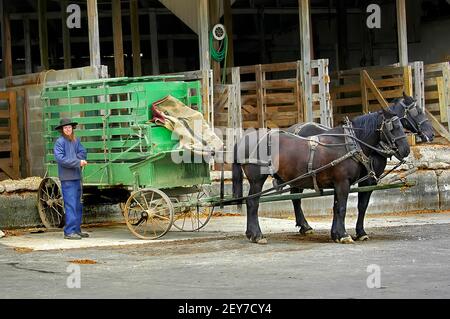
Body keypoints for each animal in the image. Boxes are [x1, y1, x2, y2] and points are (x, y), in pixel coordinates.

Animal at [232, 109, 412, 244]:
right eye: (393, 127)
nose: (406, 150)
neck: (350, 144)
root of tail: (244, 140)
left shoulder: (338, 183)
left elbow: (337, 207)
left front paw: (337, 234)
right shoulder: (343, 182)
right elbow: (342, 208)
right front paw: (344, 235)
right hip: (257, 180)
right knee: (253, 203)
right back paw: (257, 235)